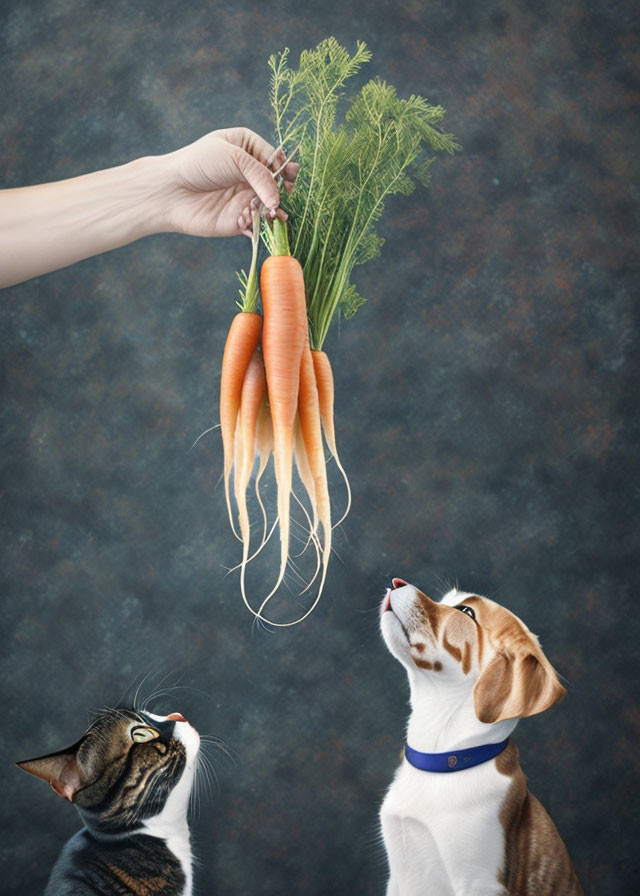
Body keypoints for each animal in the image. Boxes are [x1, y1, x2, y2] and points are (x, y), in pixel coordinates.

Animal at [380, 580, 584, 896]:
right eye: (445, 600)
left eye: (466, 611)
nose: (396, 582)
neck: (442, 763)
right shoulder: (398, 880)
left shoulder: (478, 882)